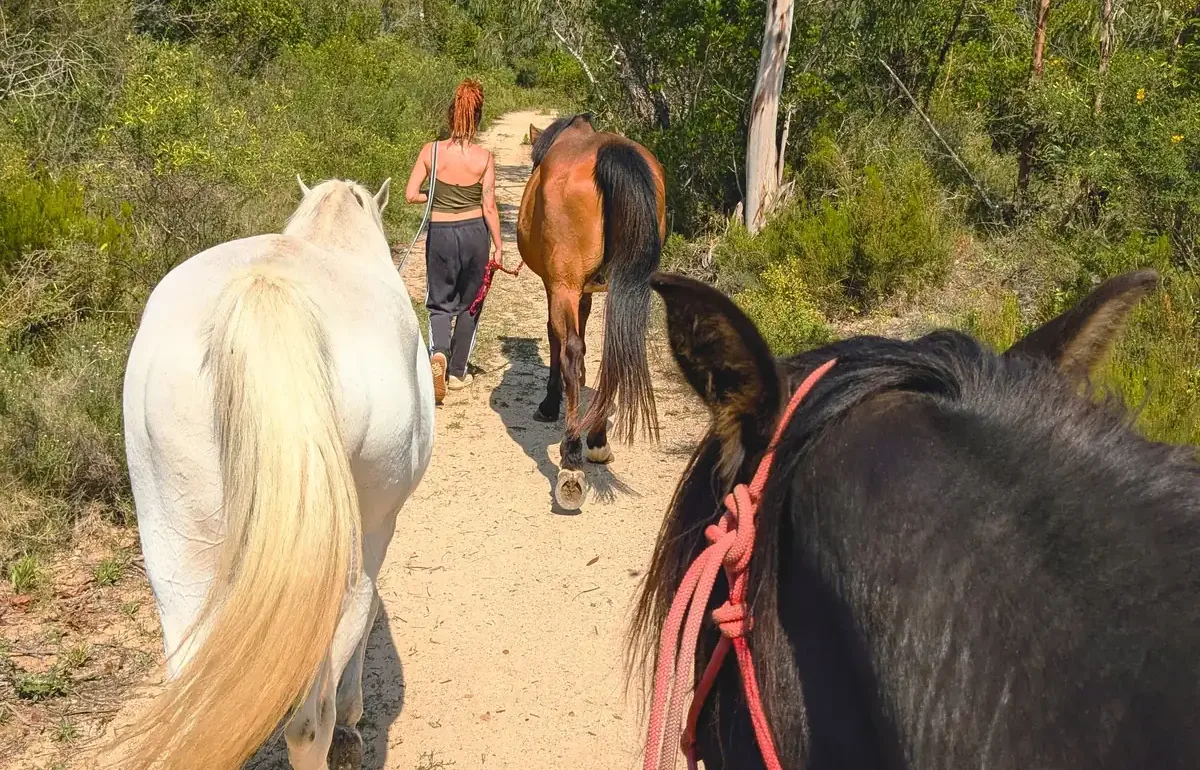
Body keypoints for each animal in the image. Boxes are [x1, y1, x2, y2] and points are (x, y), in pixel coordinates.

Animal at [114, 177, 435, 770]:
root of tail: (263, 290)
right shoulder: (381, 535)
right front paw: (354, 718)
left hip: (177, 552)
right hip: (346, 559)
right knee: (310, 722)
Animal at [517, 113, 666, 510]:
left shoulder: (558, 287)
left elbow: (558, 340)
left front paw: (549, 404)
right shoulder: (586, 291)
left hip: (565, 285)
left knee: (571, 351)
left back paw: (571, 461)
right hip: (621, 285)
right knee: (615, 352)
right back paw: (597, 440)